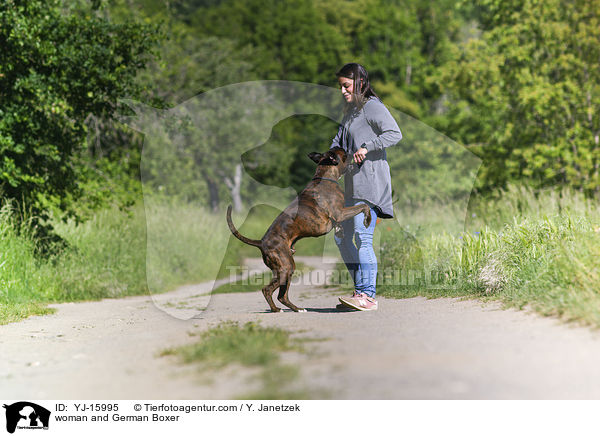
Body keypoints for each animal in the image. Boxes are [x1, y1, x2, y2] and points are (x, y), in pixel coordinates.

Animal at [227, 147, 372, 314]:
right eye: (344, 153)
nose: (352, 150)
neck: (326, 176)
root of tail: (261, 242)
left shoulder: (339, 216)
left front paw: (340, 231)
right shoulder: (341, 213)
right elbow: (363, 206)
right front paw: (367, 219)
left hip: (286, 271)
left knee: (282, 296)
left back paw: (297, 308)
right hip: (286, 268)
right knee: (267, 290)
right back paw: (276, 310)